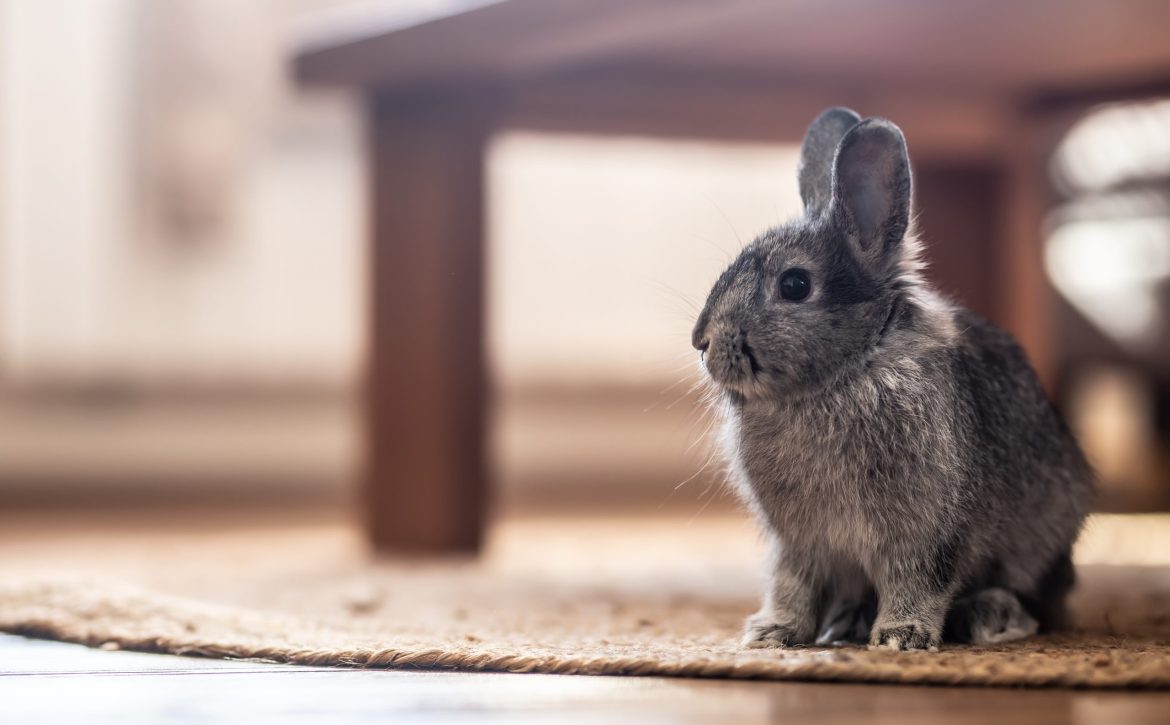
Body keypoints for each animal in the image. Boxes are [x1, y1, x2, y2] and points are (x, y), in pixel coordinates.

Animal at [691, 107, 1094, 651]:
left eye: (794, 284)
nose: (701, 341)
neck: (849, 368)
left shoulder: (927, 531)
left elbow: (917, 581)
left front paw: (901, 638)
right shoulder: (798, 543)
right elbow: (791, 585)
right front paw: (773, 633)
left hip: (1038, 541)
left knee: (1036, 600)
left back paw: (990, 617)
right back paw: (847, 621)